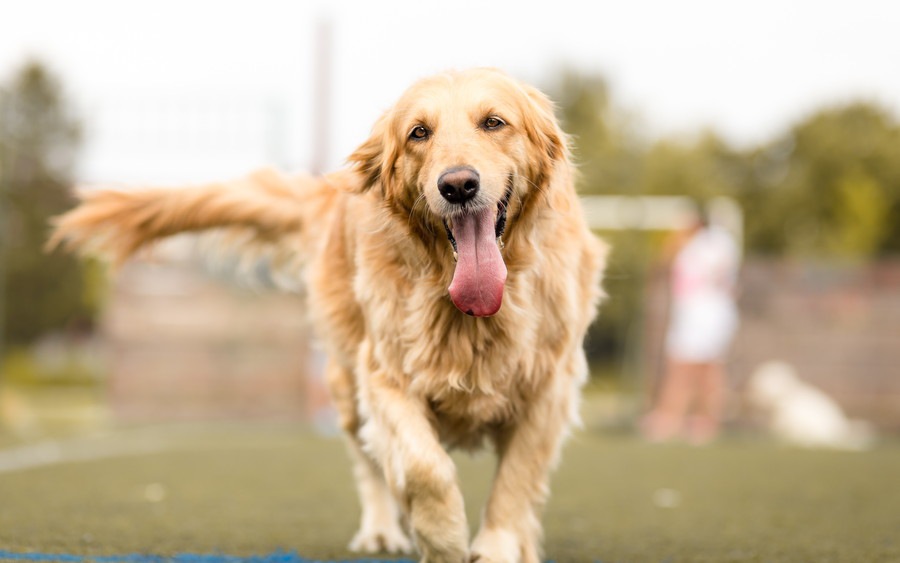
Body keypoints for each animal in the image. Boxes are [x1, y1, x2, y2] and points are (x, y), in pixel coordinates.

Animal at [52, 69, 608, 563]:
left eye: (494, 122)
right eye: (419, 132)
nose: (457, 185)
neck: (471, 309)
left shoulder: (549, 386)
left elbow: (515, 481)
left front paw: (496, 548)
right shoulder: (384, 372)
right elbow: (424, 468)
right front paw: (444, 538)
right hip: (345, 381)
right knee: (370, 462)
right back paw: (383, 530)